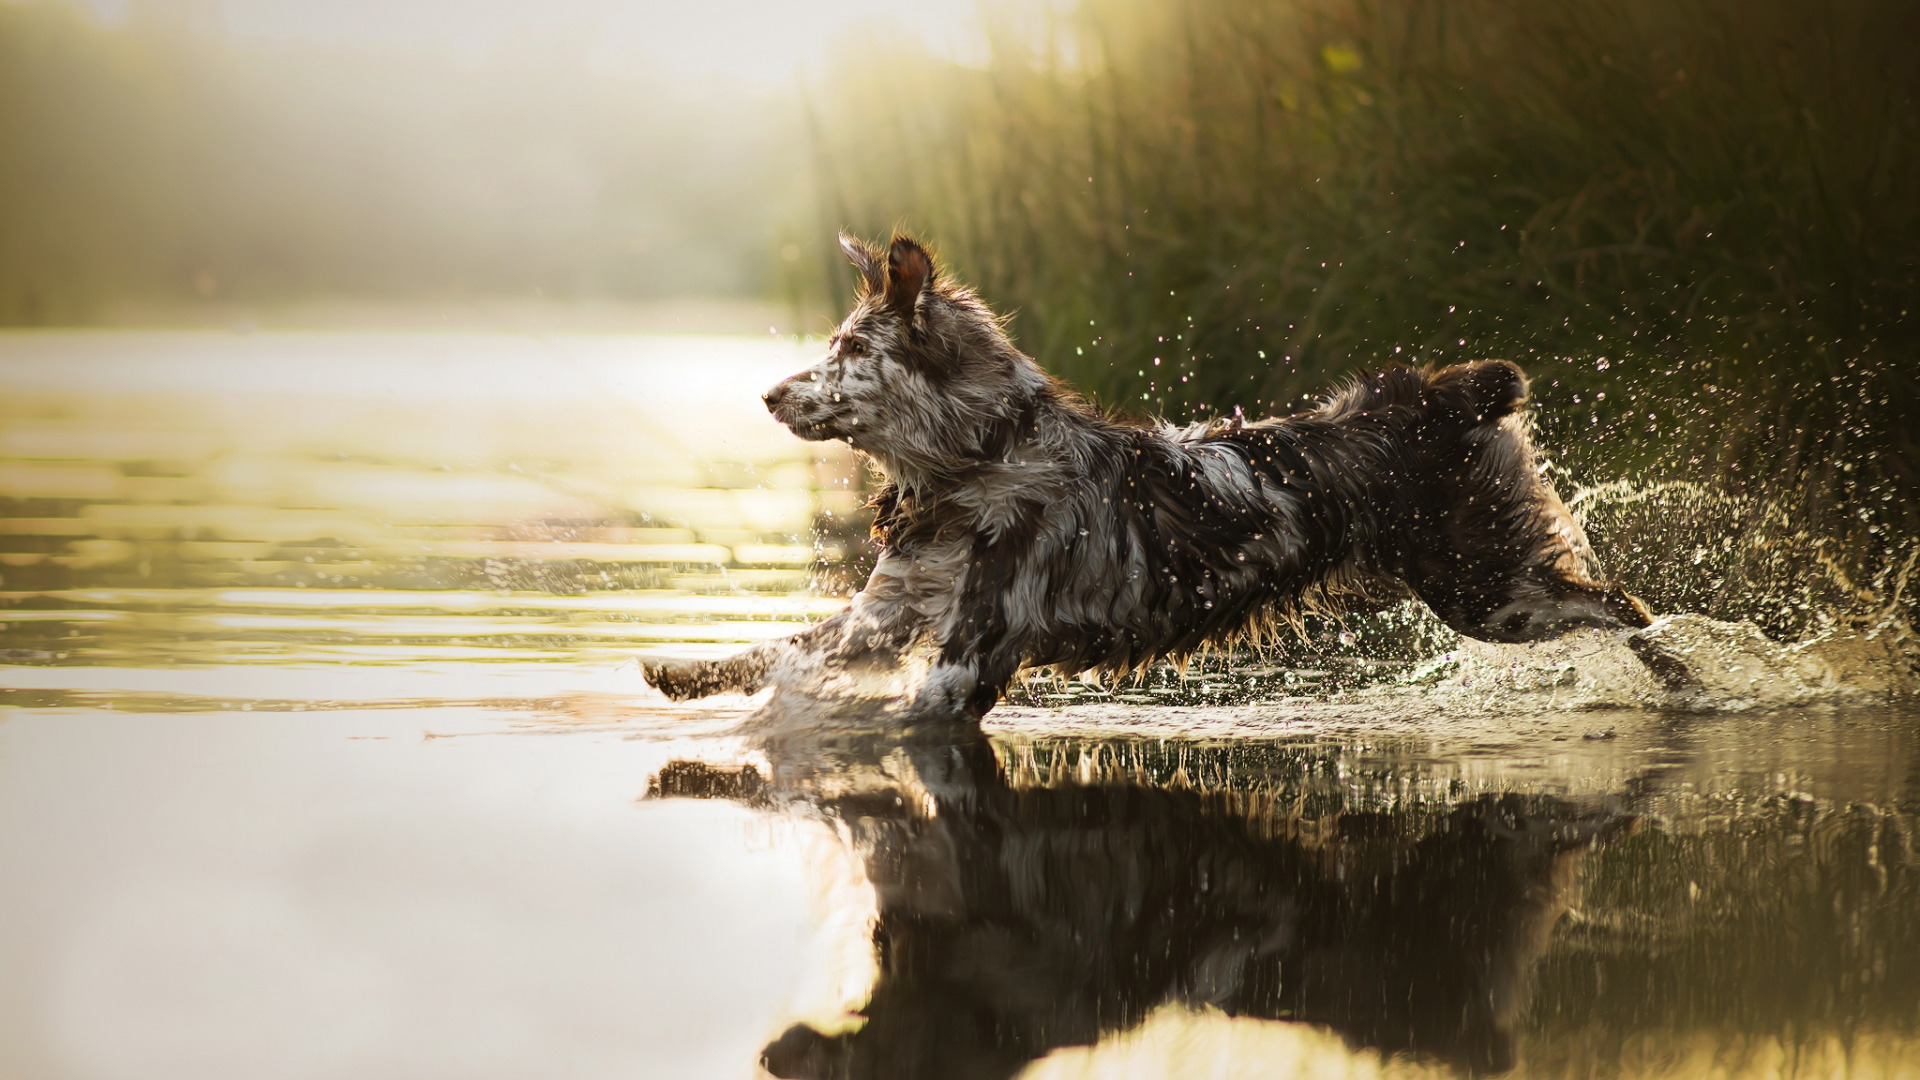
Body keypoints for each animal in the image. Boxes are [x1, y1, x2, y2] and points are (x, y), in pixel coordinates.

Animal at [641, 231, 1651, 711]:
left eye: (850, 349)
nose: (769, 394)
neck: (982, 461)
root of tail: (1435, 396)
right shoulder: (884, 616)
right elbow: (775, 650)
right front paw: (681, 673)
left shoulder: (971, 653)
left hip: (1490, 591)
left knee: (1627, 608)